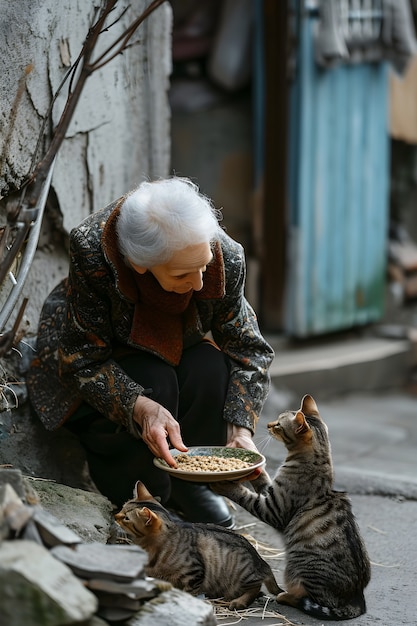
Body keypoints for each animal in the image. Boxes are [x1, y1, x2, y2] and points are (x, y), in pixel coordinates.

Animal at [115, 480, 282, 608]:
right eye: (122, 507)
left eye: (127, 518)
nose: (115, 515)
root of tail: (261, 561)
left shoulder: (194, 573)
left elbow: (189, 592)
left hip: (242, 576)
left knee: (255, 587)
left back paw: (239, 601)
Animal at [211, 392, 370, 616]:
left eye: (279, 424)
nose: (268, 424)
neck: (316, 461)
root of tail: (357, 601)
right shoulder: (271, 493)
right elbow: (262, 480)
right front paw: (253, 468)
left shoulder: (274, 509)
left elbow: (245, 496)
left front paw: (223, 484)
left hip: (299, 569)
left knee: (304, 597)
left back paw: (284, 596)